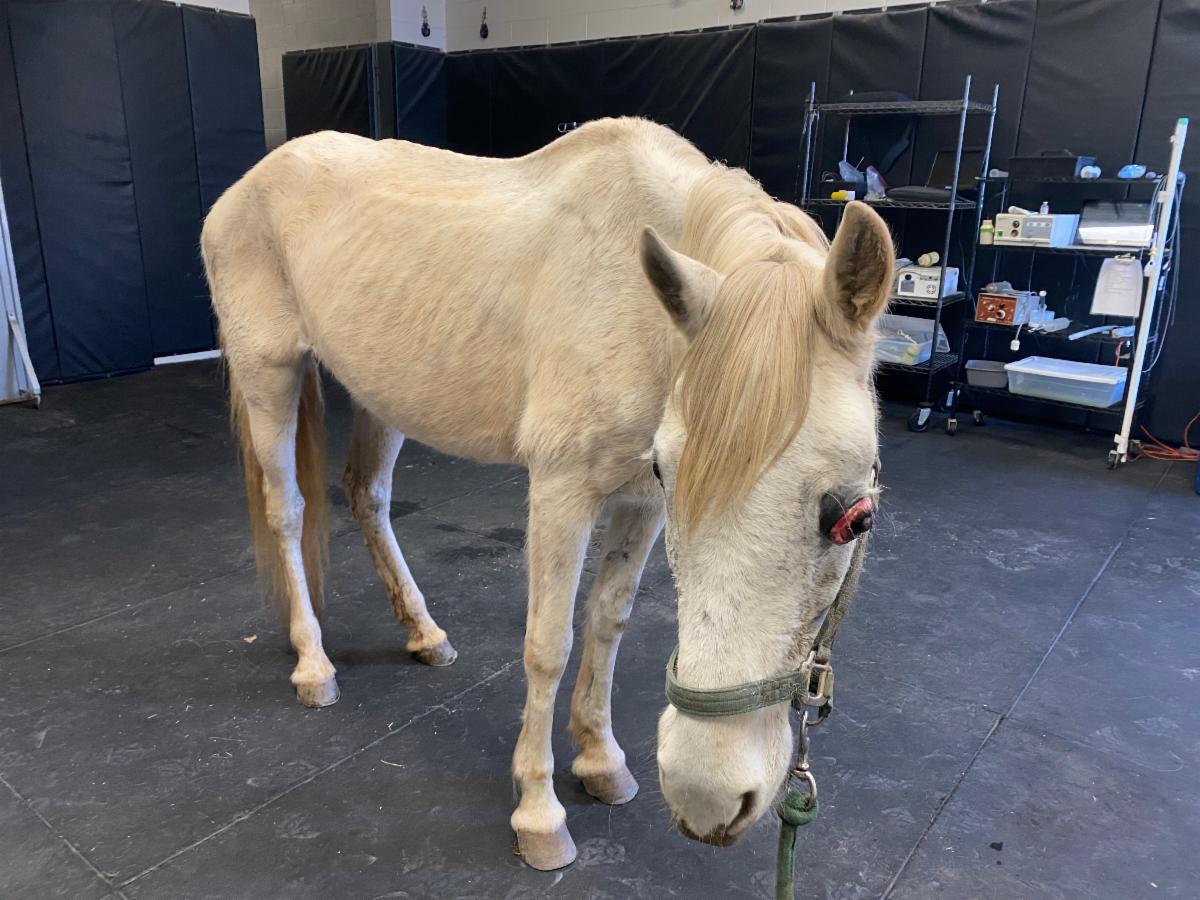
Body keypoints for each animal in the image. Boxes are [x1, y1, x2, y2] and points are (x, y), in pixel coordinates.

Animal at [201, 117, 891, 870]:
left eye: (855, 520)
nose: (706, 795)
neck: (640, 308)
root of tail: (246, 186)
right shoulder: (563, 490)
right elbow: (548, 645)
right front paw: (538, 812)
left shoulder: (638, 501)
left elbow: (608, 619)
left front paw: (601, 760)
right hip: (269, 373)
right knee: (288, 512)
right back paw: (313, 664)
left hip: (378, 393)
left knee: (368, 496)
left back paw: (423, 632)